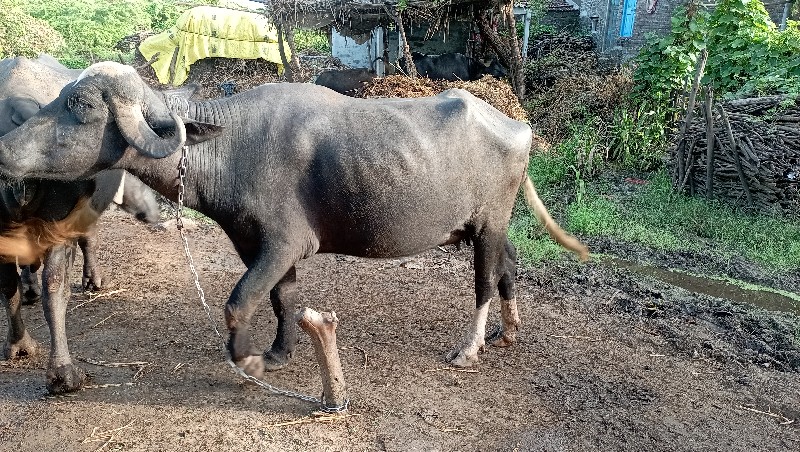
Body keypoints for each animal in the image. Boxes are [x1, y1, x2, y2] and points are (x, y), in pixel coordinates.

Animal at [0, 61, 588, 394]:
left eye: (77, 104)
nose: (4, 149)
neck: (228, 146)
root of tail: (518, 125)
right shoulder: (256, 244)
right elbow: (282, 299)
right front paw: (281, 352)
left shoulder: (284, 243)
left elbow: (238, 301)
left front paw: (249, 359)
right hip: (487, 227)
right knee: (509, 266)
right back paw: (509, 330)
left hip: (488, 223)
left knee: (485, 281)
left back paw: (470, 348)